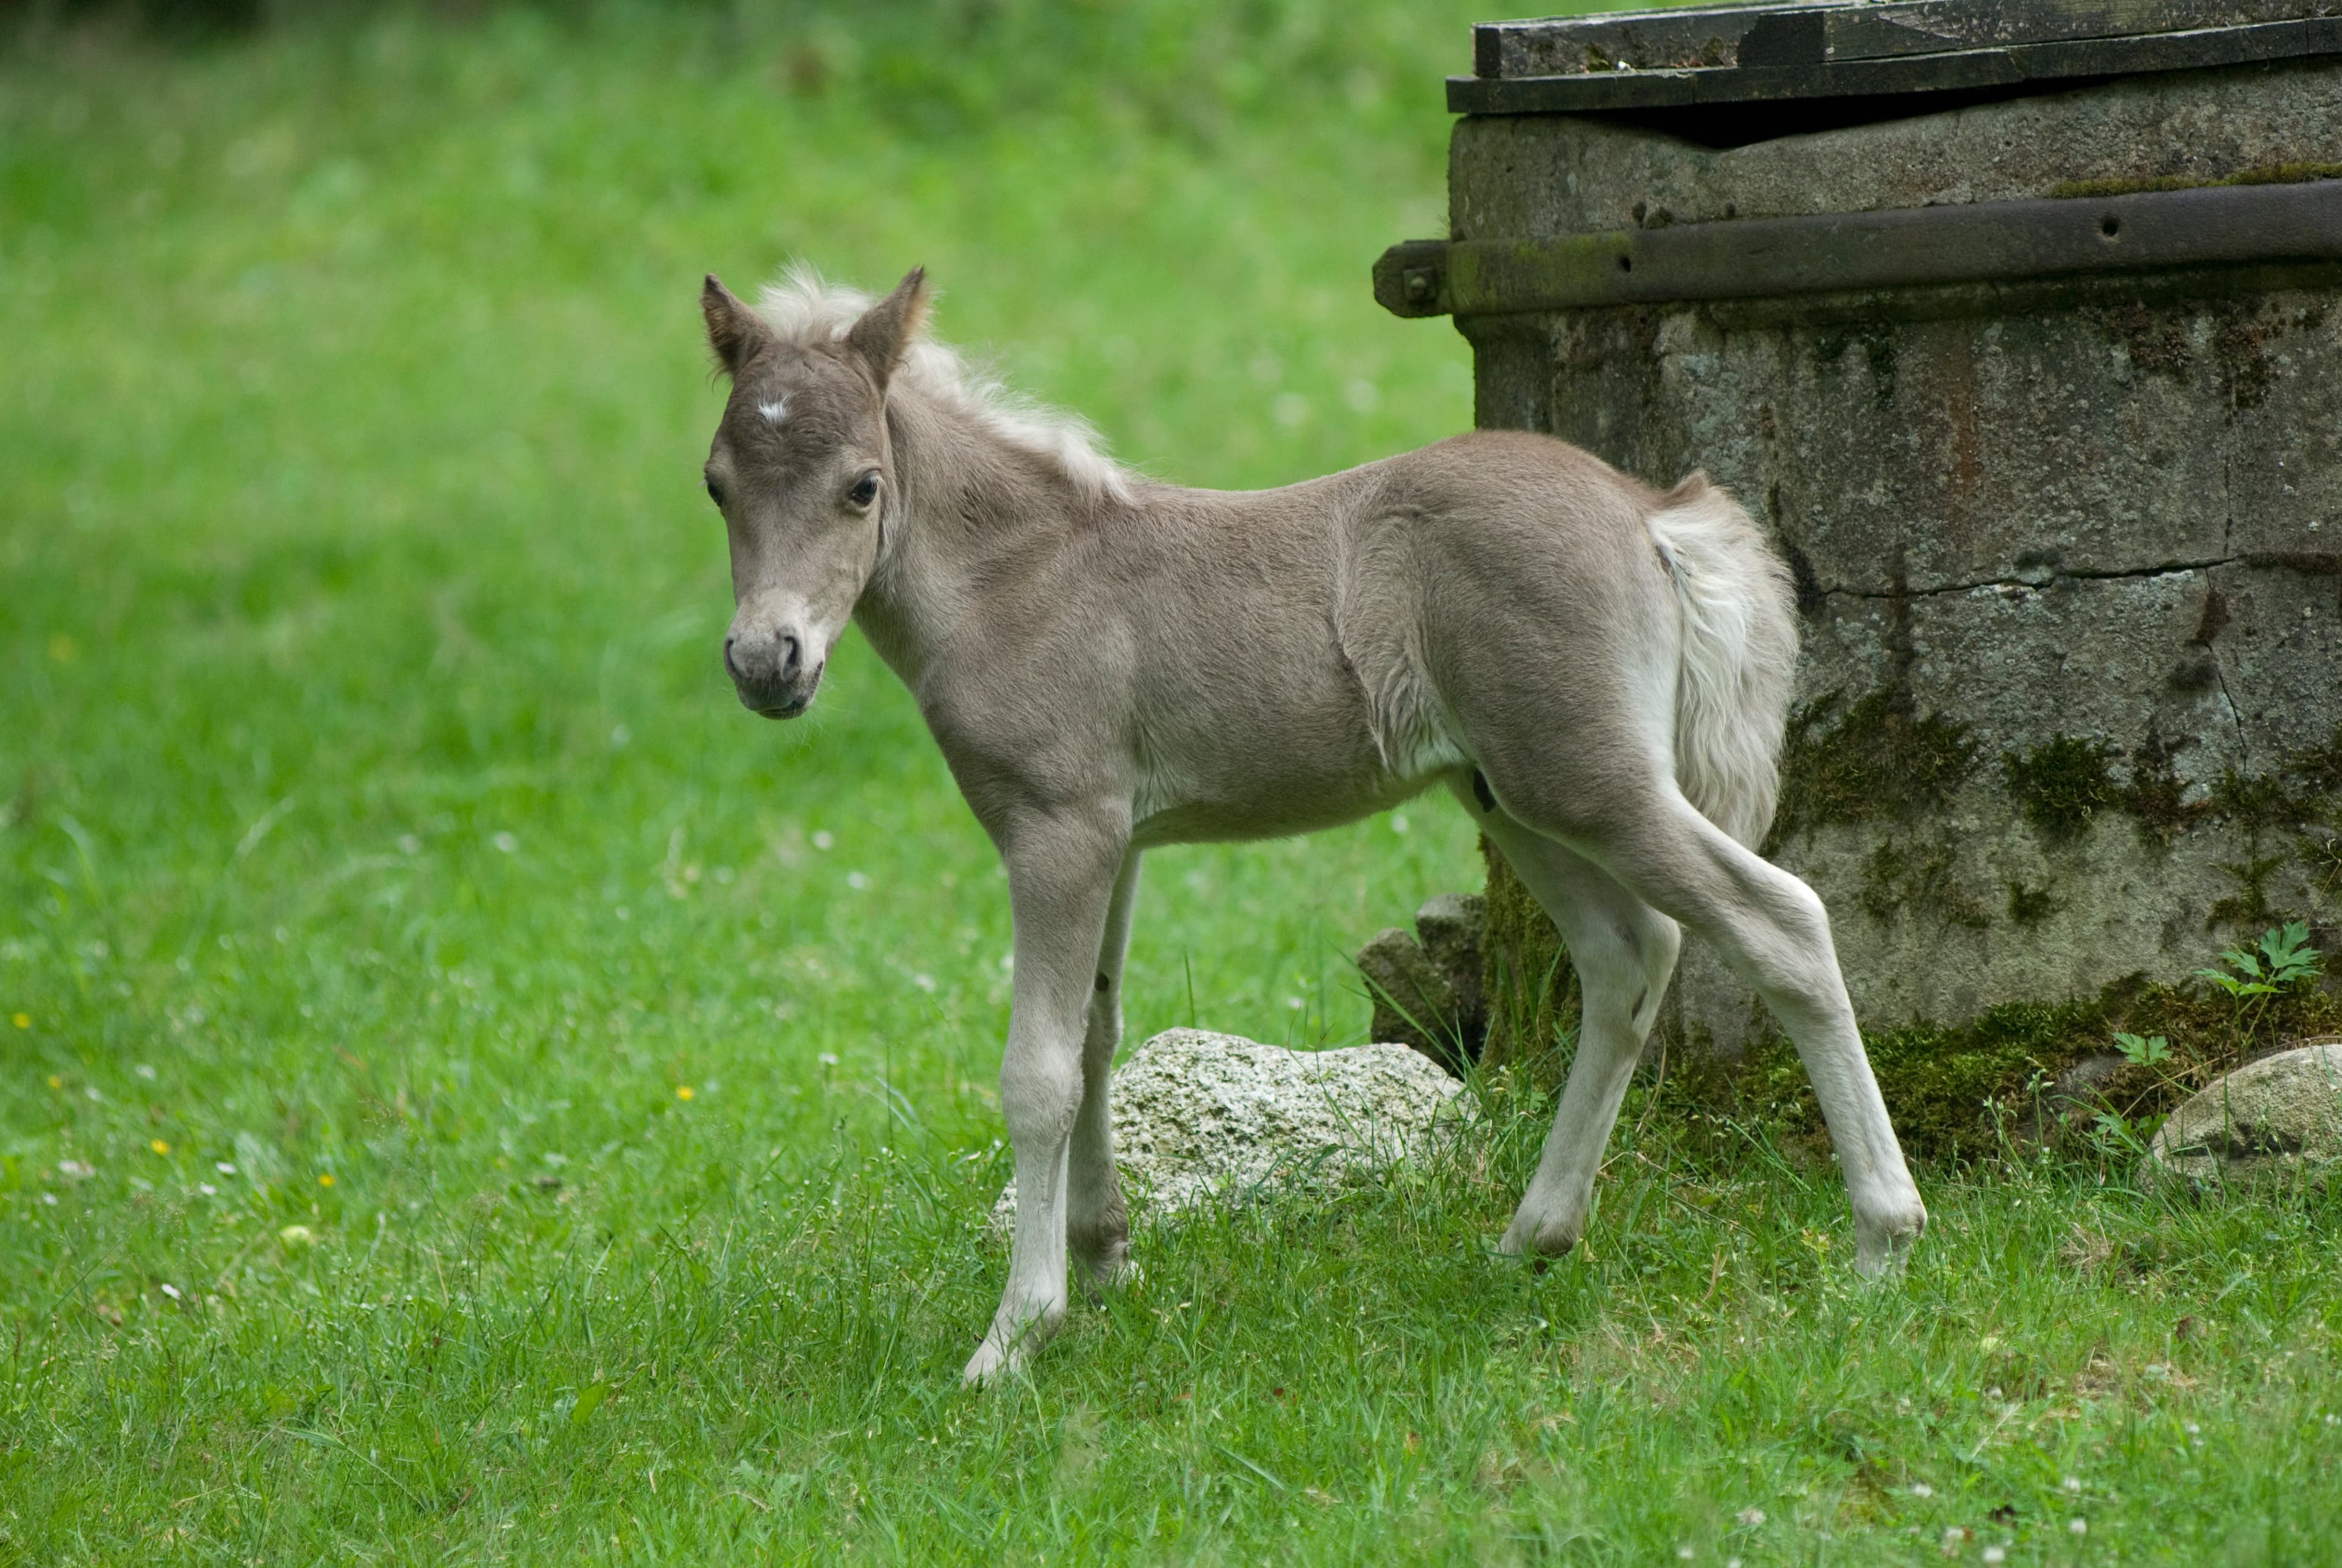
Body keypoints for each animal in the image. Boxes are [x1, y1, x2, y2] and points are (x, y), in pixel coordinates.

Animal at [688, 267, 1920, 1385]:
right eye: (714, 486)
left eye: (861, 487)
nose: (764, 663)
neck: (1020, 577)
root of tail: (1645, 509)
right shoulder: (1117, 840)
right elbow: (1095, 1036)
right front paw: (1109, 1263)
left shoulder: (1056, 829)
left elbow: (1036, 1071)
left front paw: (1015, 1336)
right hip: (1512, 791)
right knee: (1629, 956)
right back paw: (1532, 1238)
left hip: (1591, 781)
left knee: (1781, 921)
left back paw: (1882, 1239)